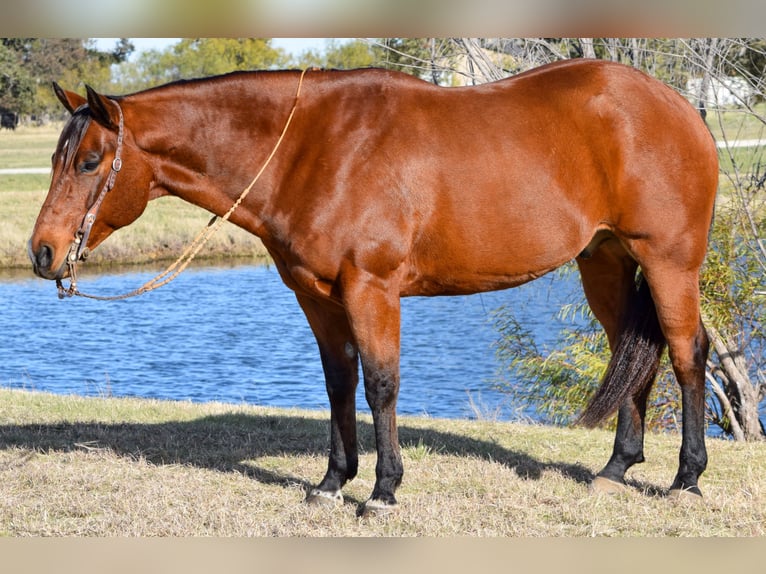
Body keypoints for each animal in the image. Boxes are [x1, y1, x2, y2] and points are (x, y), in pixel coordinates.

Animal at [25, 59, 720, 516]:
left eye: (89, 162)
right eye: (56, 159)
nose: (42, 252)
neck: (316, 149)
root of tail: (684, 109)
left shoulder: (372, 290)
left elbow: (381, 384)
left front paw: (383, 490)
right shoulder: (317, 296)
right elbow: (339, 383)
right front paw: (333, 481)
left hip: (670, 263)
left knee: (688, 355)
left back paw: (686, 478)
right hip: (604, 262)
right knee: (637, 354)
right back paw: (615, 468)